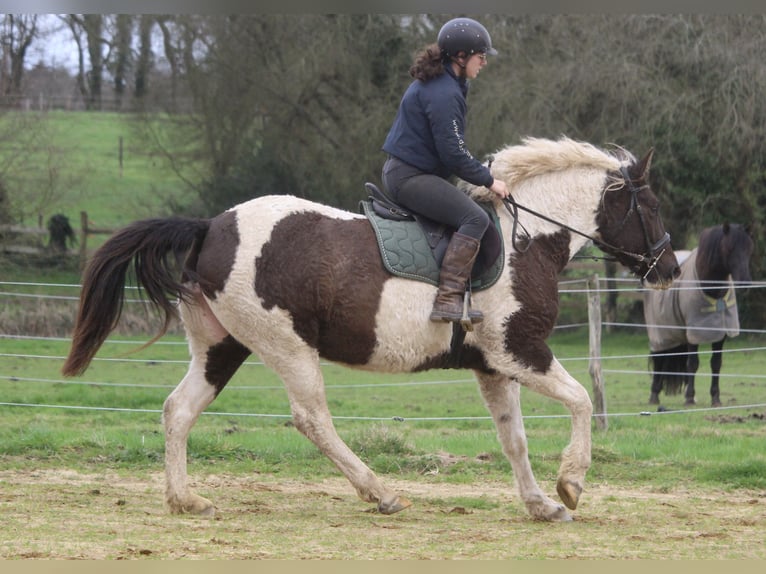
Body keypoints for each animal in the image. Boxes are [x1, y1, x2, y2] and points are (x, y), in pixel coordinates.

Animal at [63, 137, 680, 524]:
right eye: (650, 205)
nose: (669, 269)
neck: (525, 242)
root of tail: (212, 226)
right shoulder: (520, 351)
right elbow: (580, 401)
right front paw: (571, 484)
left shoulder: (494, 366)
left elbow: (515, 440)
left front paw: (541, 505)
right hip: (286, 346)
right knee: (311, 419)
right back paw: (380, 493)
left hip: (223, 346)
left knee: (179, 409)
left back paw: (186, 501)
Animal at [640, 224, 756, 410]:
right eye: (729, 249)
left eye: (749, 249)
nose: (745, 283)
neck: (712, 288)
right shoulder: (693, 334)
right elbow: (693, 363)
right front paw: (689, 397)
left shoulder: (720, 334)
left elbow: (716, 363)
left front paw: (715, 398)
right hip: (660, 332)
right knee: (659, 358)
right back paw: (654, 395)